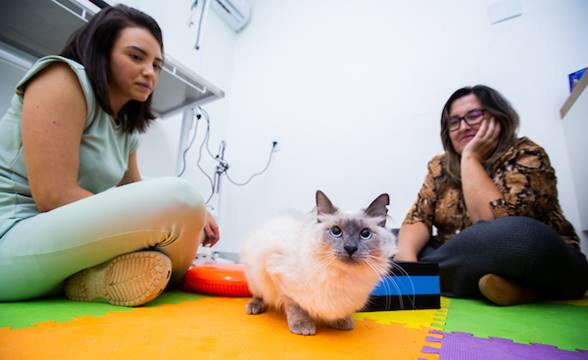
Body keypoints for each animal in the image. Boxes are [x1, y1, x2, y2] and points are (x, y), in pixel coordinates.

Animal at [239, 190, 396, 336]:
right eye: (336, 231)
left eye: (365, 234)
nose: (350, 248)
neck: (342, 277)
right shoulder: (279, 276)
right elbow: (295, 307)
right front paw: (302, 326)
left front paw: (341, 321)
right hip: (255, 277)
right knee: (259, 295)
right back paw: (253, 308)